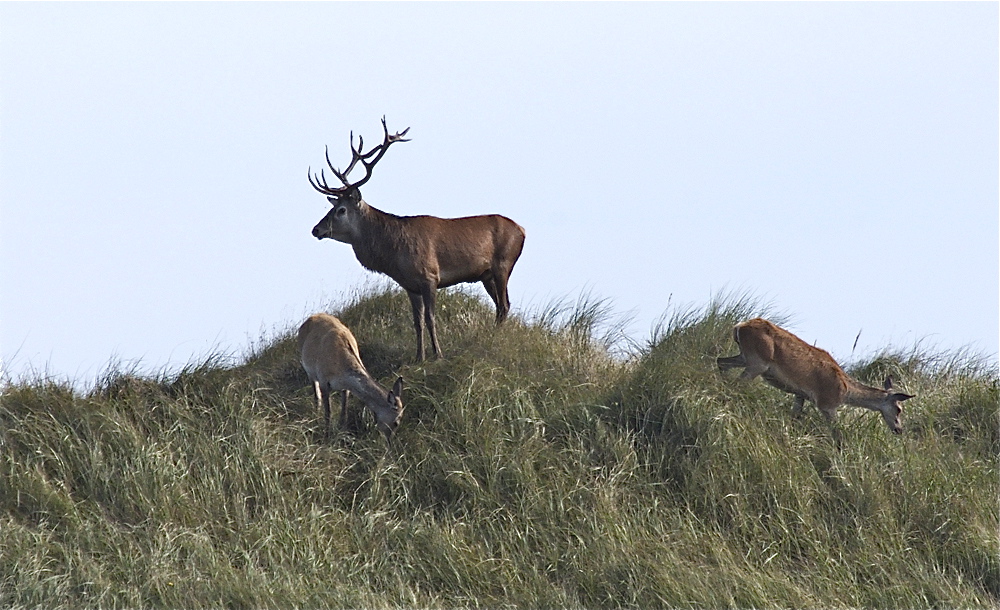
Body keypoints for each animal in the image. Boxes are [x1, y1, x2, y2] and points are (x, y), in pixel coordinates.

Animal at [296, 314, 406, 442]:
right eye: (396, 422)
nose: (390, 441)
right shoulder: (323, 380)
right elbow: (328, 412)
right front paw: (326, 437)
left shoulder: (346, 388)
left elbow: (344, 412)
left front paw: (342, 434)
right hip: (309, 371)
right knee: (316, 396)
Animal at [306, 116, 524, 358]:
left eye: (341, 210)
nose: (316, 229)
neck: (393, 255)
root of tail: (522, 230)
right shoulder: (410, 285)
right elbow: (417, 321)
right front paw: (419, 356)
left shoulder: (430, 276)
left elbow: (430, 318)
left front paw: (438, 354)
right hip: (486, 274)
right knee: (500, 306)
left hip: (503, 263)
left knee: (504, 305)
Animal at [720, 318, 916, 432]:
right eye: (899, 409)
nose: (899, 429)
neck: (845, 391)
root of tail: (739, 327)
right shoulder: (827, 404)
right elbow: (837, 433)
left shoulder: (800, 394)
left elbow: (795, 416)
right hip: (757, 362)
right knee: (736, 383)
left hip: (745, 357)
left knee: (720, 361)